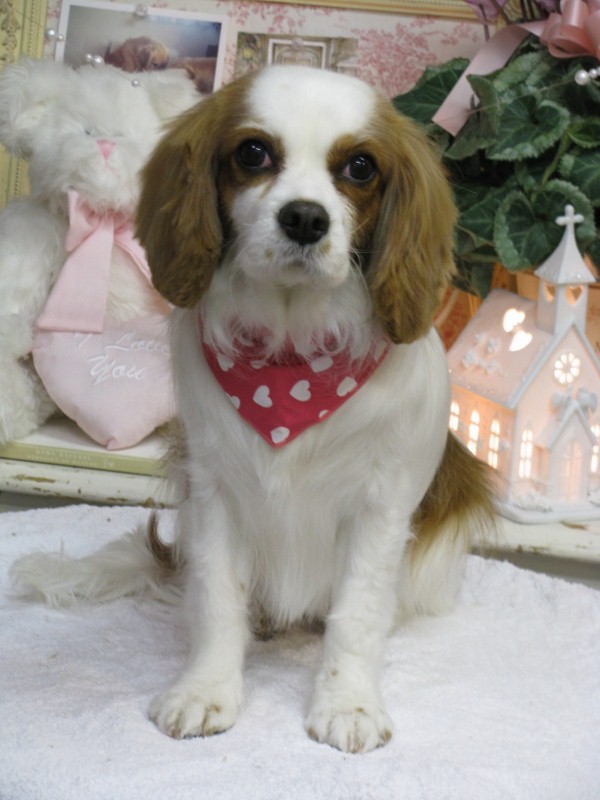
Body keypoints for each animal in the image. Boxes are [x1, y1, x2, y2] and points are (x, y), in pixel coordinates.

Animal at [11, 66, 495, 754]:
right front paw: (206, 690)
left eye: (361, 167)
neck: (290, 367)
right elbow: (218, 598)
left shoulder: (380, 510)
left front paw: (347, 702)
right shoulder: (216, 495)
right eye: (253, 153)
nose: (305, 218)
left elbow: (357, 613)